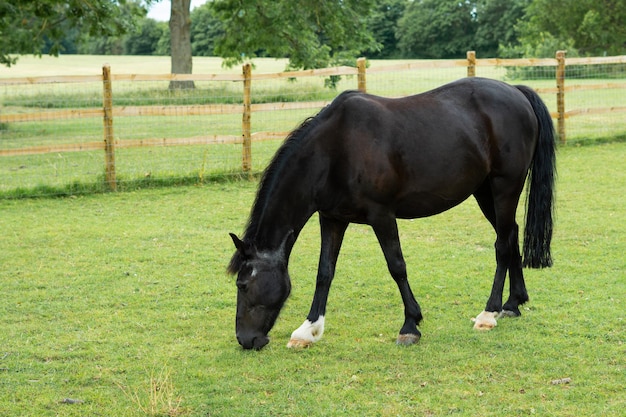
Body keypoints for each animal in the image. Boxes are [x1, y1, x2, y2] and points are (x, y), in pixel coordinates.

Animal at [227, 77, 552, 348]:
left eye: (243, 284)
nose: (245, 339)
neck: (334, 150)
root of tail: (516, 92)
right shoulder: (332, 218)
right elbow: (325, 272)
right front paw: (308, 329)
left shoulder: (381, 216)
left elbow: (396, 266)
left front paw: (410, 325)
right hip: (485, 192)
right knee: (510, 236)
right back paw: (513, 304)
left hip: (504, 188)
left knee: (501, 245)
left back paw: (489, 312)